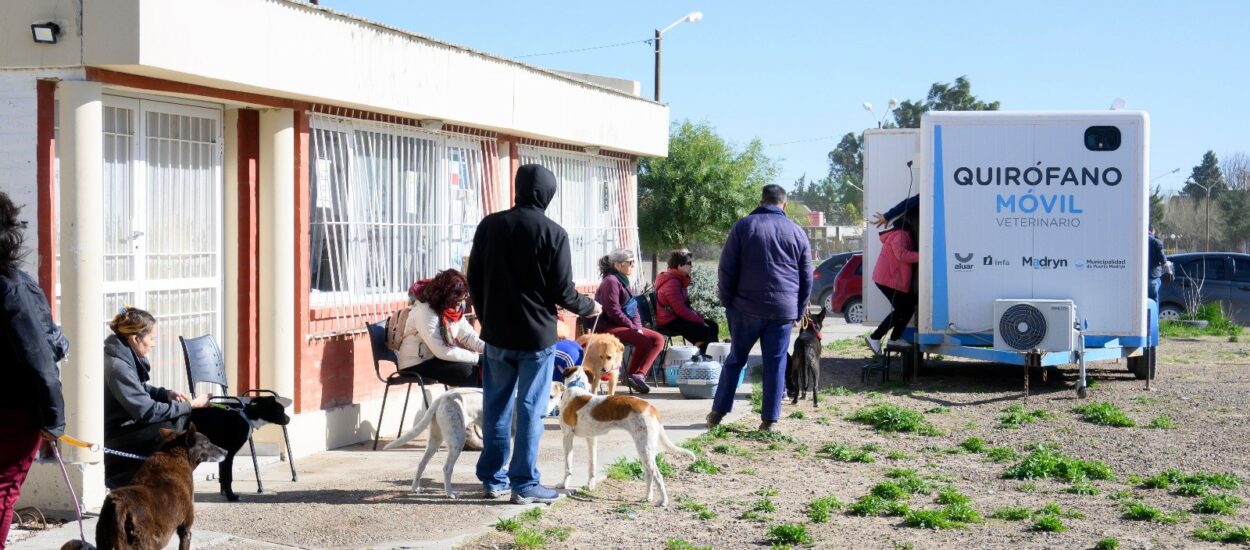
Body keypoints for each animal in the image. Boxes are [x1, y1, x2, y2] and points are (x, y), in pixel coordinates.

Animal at [96, 425, 228, 550]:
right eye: (206, 442)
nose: (226, 451)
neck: (174, 455)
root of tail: (120, 504)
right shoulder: (186, 530)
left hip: (103, 542)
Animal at [385, 382, 567, 497]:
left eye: (552, 396)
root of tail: (443, 397)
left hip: (435, 440)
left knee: (421, 464)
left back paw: (415, 488)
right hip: (457, 440)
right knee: (447, 468)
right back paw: (449, 493)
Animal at [557, 367, 695, 505]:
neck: (576, 385)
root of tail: (651, 407)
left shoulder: (567, 436)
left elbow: (568, 466)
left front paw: (563, 484)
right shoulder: (591, 439)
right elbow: (592, 464)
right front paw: (590, 484)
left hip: (644, 448)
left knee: (657, 475)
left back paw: (664, 501)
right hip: (646, 449)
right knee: (649, 473)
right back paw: (648, 497)